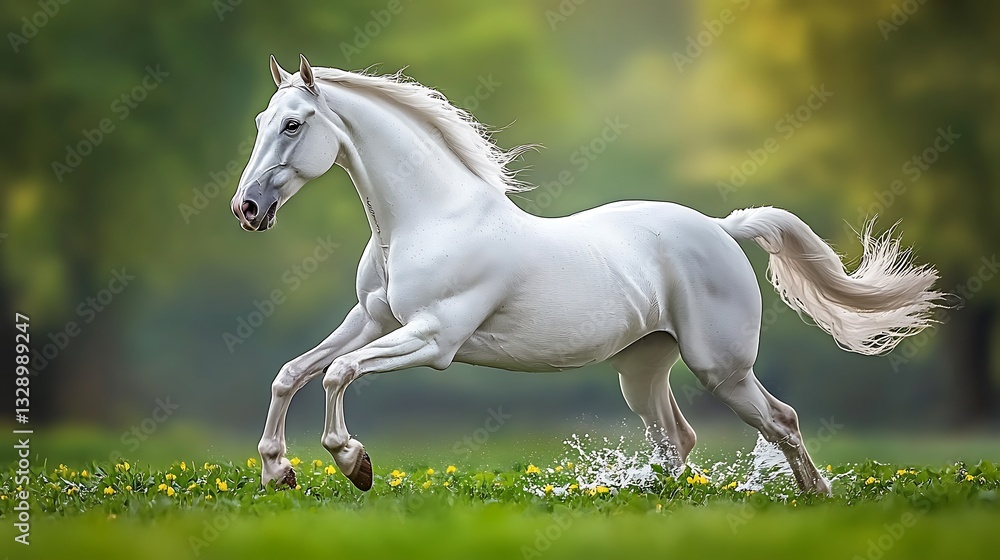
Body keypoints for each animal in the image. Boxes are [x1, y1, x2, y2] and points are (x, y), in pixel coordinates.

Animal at [231, 55, 942, 495]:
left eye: (293, 124)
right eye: (262, 121)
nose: (248, 209)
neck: (428, 219)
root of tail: (721, 228)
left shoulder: (434, 339)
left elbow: (337, 374)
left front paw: (355, 464)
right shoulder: (373, 319)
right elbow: (294, 373)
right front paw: (276, 473)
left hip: (721, 368)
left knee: (783, 421)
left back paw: (816, 497)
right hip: (643, 369)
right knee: (678, 436)